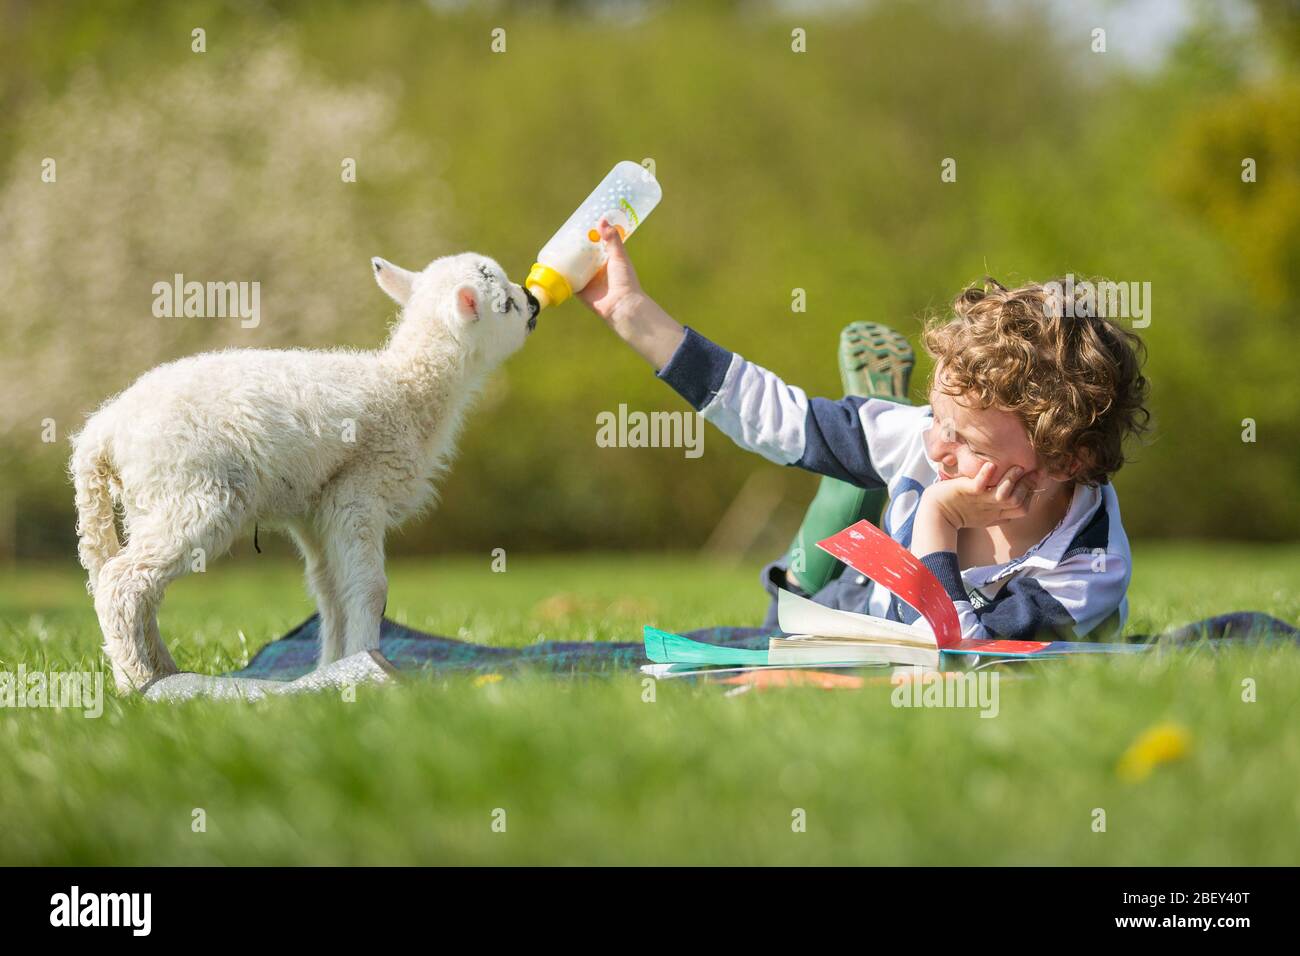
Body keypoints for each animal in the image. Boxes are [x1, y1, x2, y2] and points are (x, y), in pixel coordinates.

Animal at [69, 251, 538, 691]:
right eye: (507, 304)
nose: (533, 301)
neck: (407, 388)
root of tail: (102, 431)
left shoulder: (317, 510)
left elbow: (330, 593)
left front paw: (332, 667)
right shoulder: (360, 492)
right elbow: (369, 589)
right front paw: (369, 662)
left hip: (150, 503)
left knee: (139, 587)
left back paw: (162, 671)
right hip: (192, 496)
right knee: (122, 583)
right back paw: (136, 682)